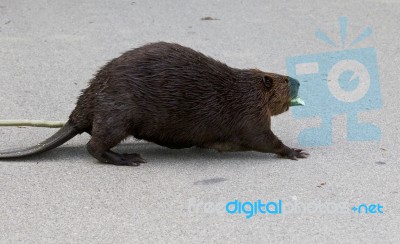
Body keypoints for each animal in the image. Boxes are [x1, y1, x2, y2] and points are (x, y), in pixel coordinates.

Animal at [0, 42, 310, 166]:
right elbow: (264, 139)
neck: (244, 89)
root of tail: (76, 117)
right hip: (118, 114)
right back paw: (128, 158)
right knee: (94, 146)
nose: (298, 81)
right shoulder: (250, 114)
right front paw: (294, 151)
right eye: (285, 80)